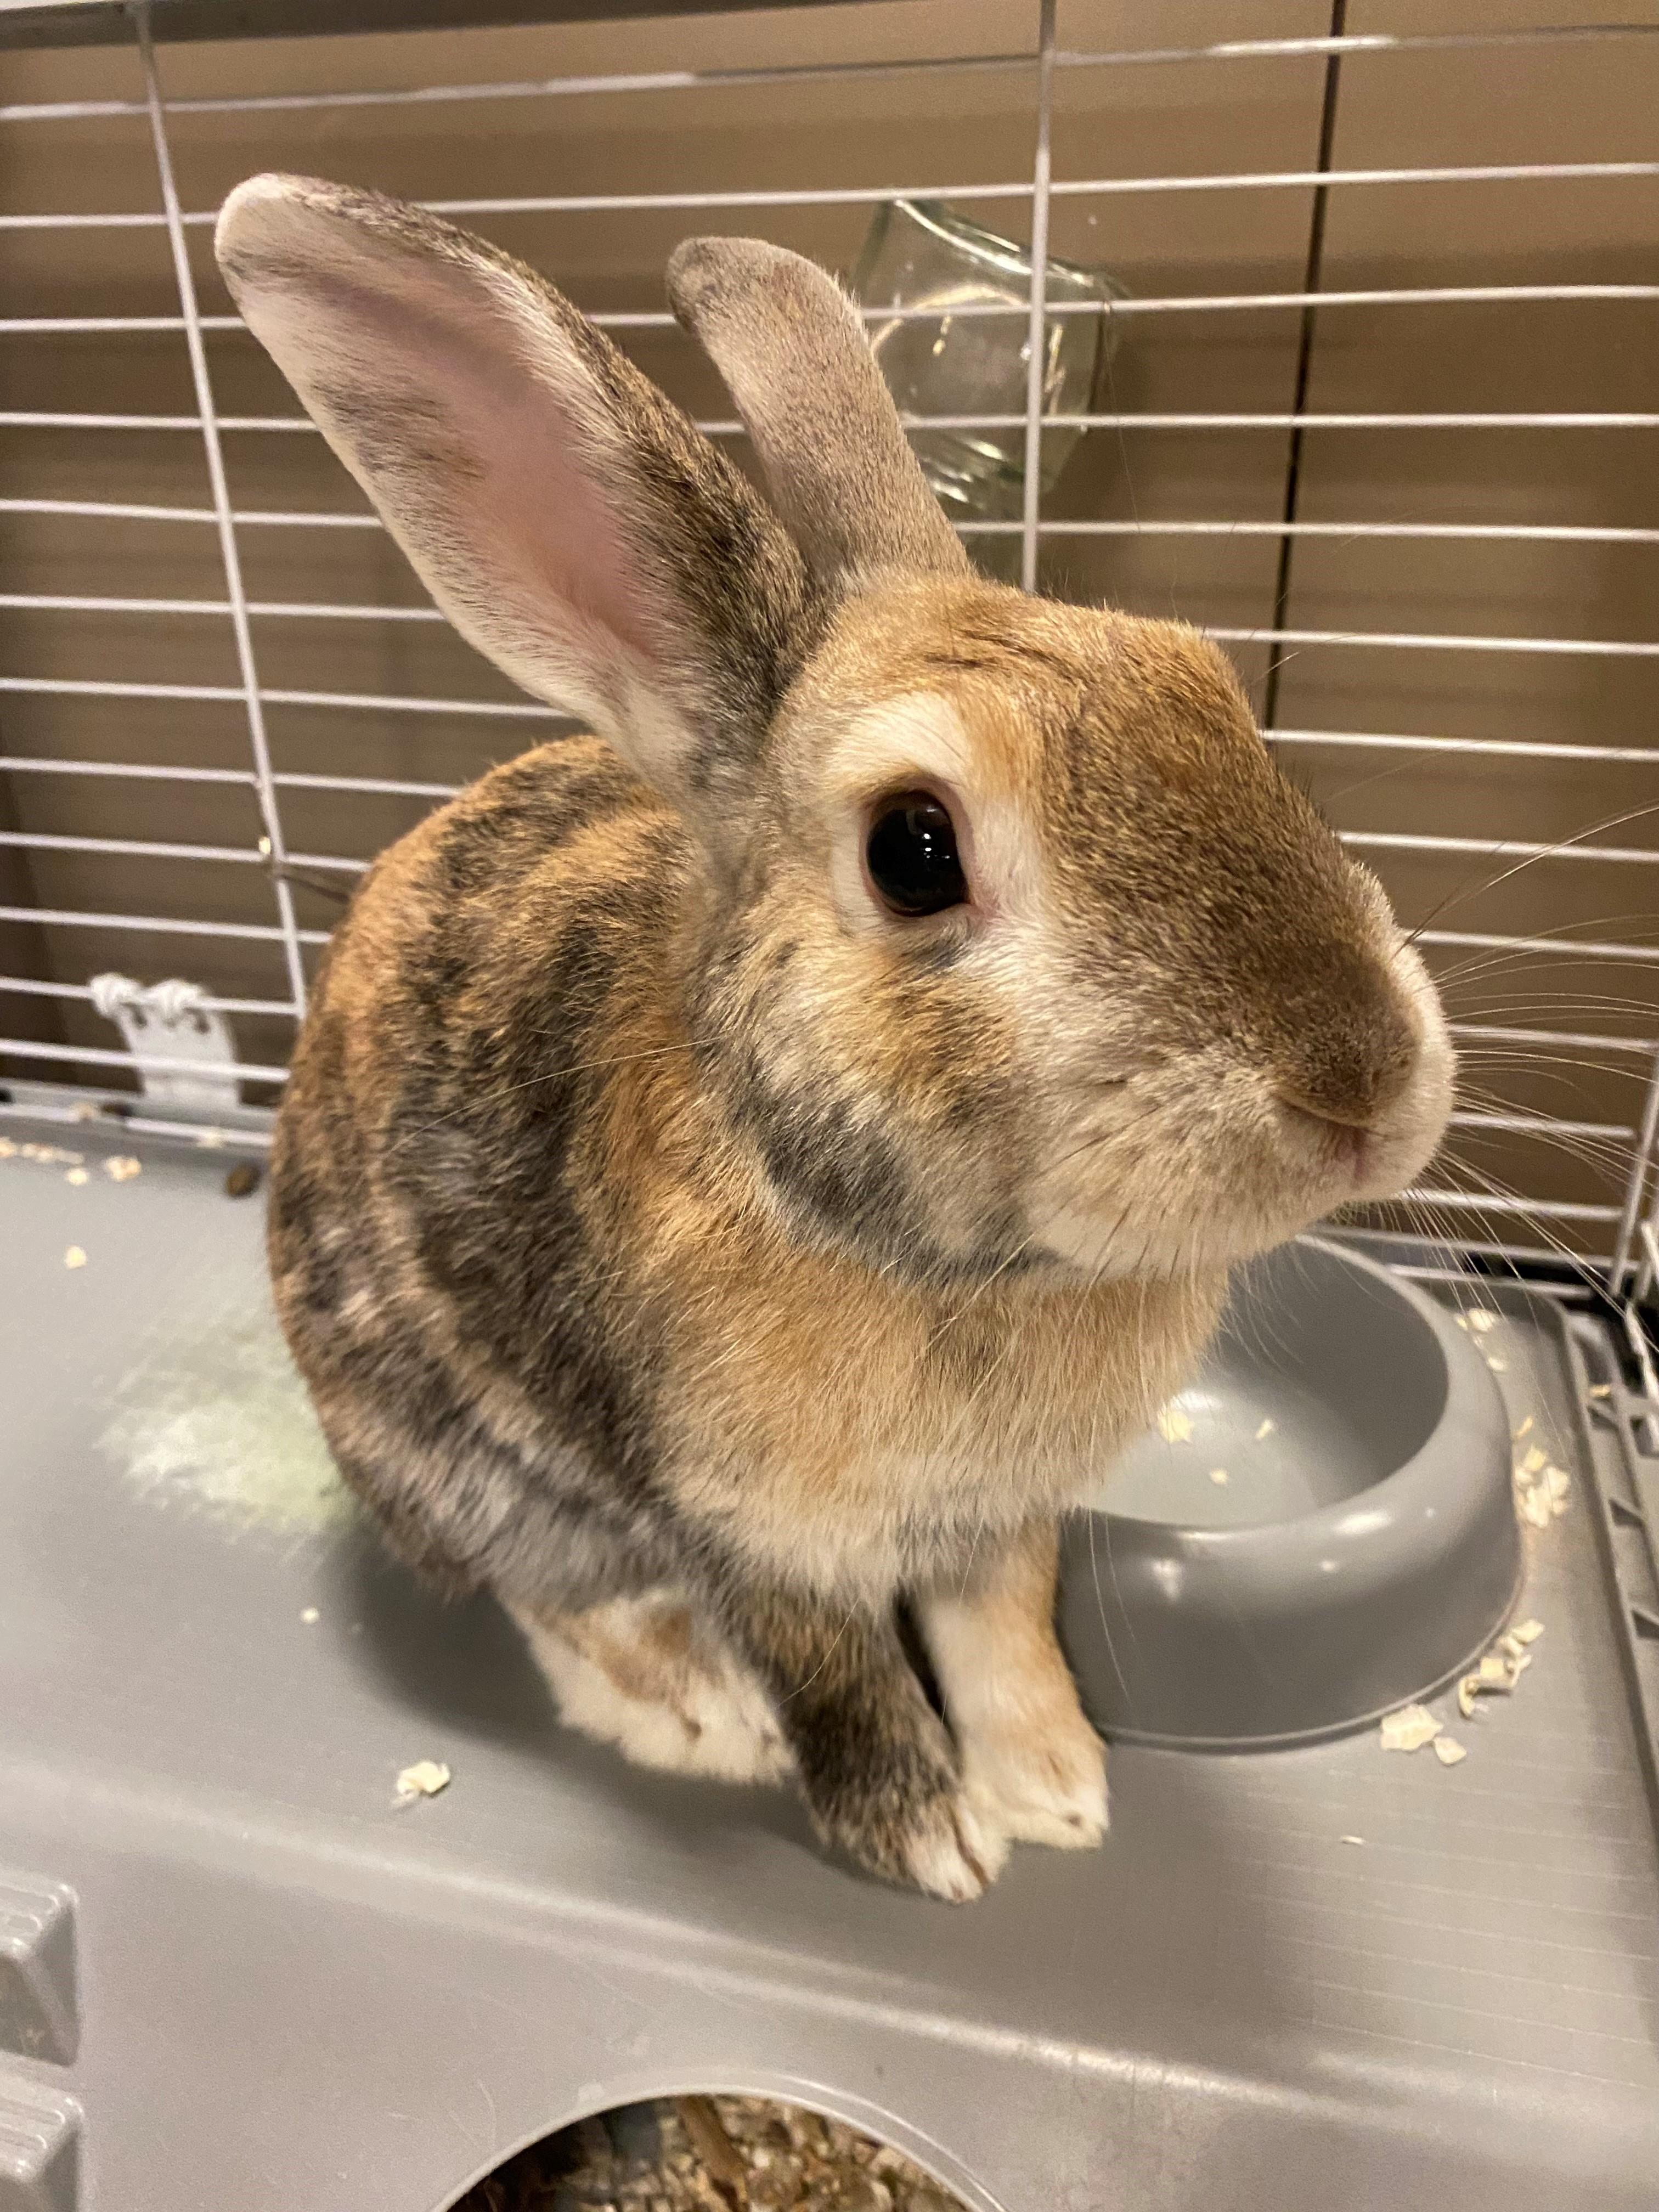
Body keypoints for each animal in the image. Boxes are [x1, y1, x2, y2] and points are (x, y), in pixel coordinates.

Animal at [216, 174, 1454, 1900]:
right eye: (914, 852)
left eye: (1214, 690)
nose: (1361, 1084)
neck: (944, 1262)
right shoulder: (753, 1523)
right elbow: (835, 1668)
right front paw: (932, 1841)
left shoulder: (999, 1523)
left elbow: (1000, 1635)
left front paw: (1056, 1788)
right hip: (453, 1453)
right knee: (549, 1588)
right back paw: (691, 1712)